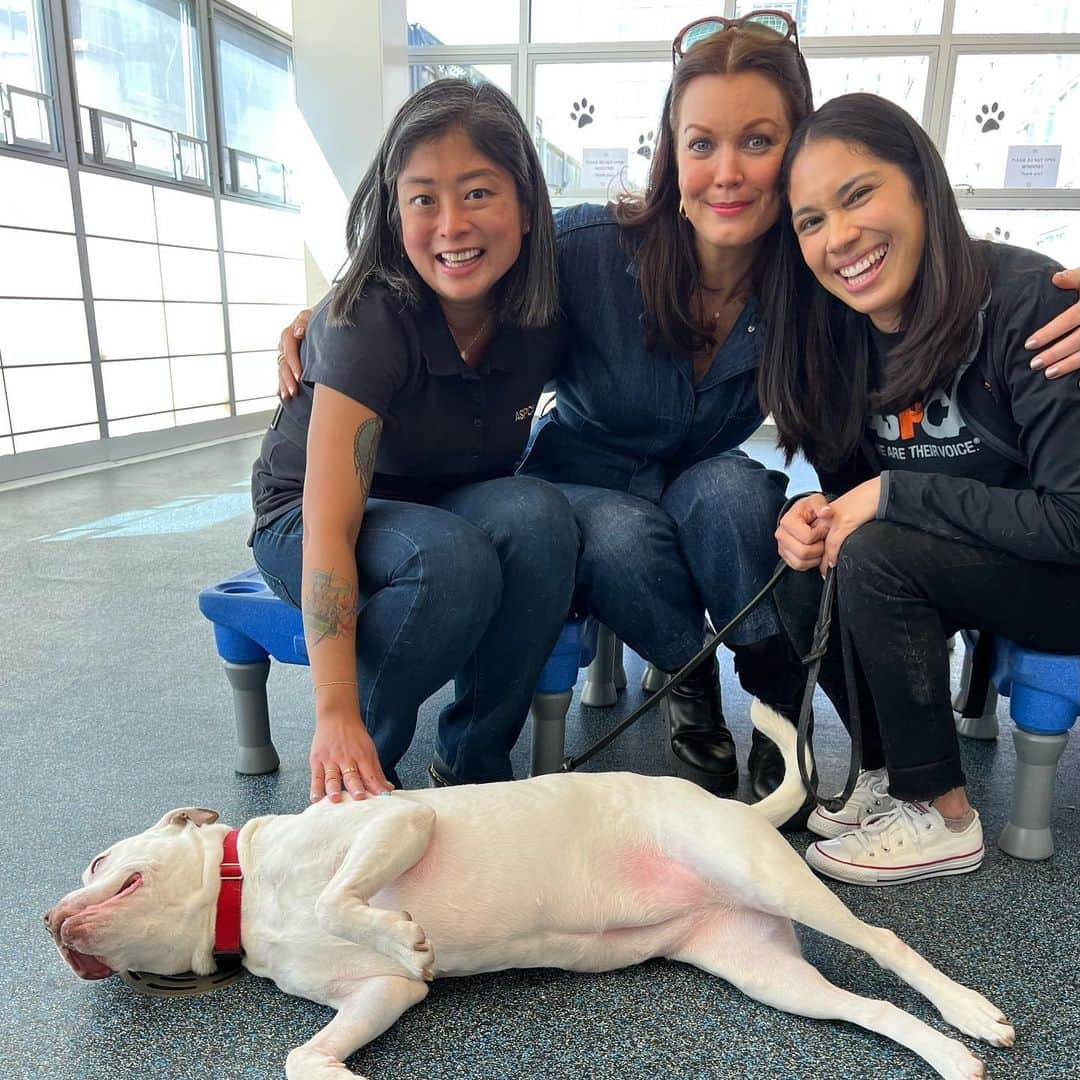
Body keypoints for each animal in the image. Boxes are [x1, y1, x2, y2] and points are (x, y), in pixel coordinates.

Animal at [46, 699, 1010, 1080]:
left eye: (97, 862)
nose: (48, 919)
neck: (246, 897)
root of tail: (733, 809)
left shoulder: (397, 823)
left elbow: (343, 899)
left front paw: (405, 930)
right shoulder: (376, 998)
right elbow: (306, 1055)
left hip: (764, 879)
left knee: (885, 945)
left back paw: (969, 1012)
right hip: (763, 971)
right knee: (864, 1008)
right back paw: (951, 1058)